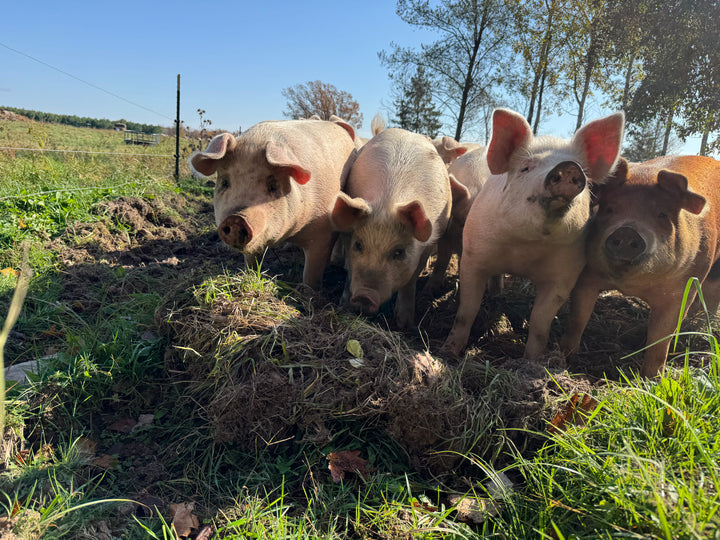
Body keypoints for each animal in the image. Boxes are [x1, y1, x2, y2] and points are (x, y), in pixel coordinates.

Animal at [189, 118, 357, 289]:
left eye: (273, 186)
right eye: (225, 183)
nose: (236, 218)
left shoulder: (323, 231)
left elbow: (312, 272)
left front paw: (308, 291)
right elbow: (252, 261)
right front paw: (250, 276)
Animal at [331, 127, 469, 328]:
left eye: (399, 252)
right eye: (359, 245)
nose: (365, 296)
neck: (387, 203)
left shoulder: (427, 246)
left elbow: (410, 281)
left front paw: (404, 324)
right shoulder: (349, 234)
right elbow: (350, 268)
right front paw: (345, 305)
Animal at [442, 108, 625, 360]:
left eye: (581, 170)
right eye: (526, 167)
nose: (569, 167)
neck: (527, 247)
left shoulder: (565, 275)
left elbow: (540, 323)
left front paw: (533, 361)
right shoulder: (474, 257)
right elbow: (467, 309)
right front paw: (448, 352)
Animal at [560, 155, 720, 377]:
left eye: (662, 215)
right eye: (609, 209)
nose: (627, 231)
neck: (632, 287)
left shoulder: (680, 292)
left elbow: (660, 339)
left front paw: (651, 378)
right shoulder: (588, 275)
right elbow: (578, 317)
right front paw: (564, 358)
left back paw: (700, 328)